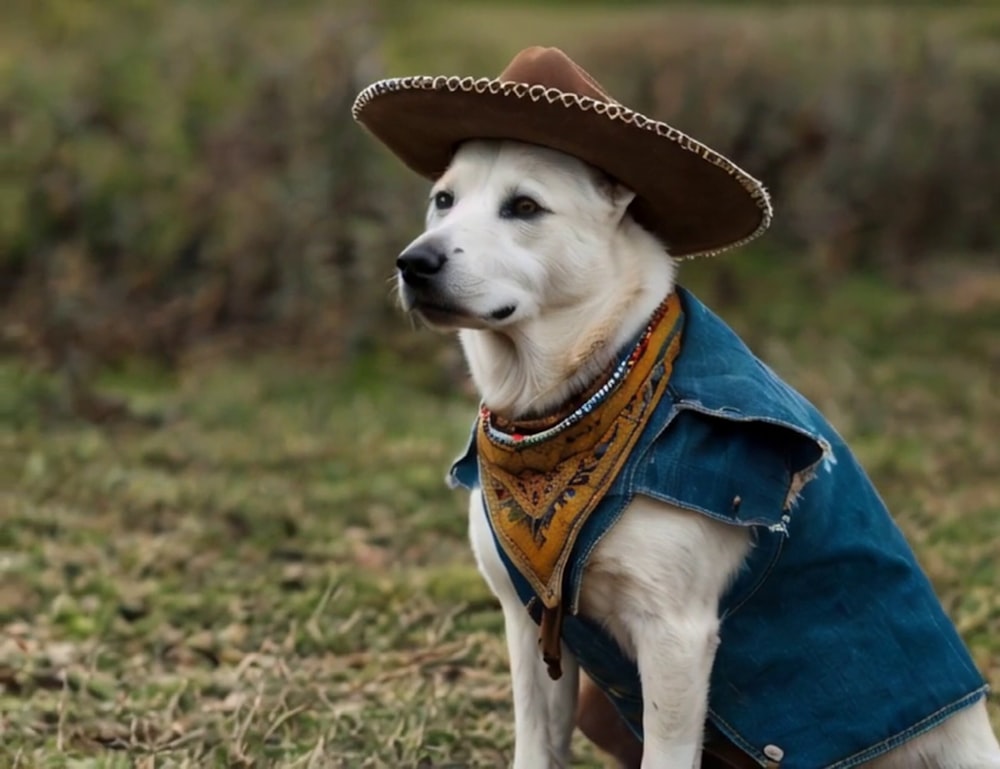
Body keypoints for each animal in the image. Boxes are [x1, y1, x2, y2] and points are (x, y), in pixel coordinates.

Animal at [396, 140, 1000, 768]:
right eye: (444, 200)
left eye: (524, 207)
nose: (413, 263)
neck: (567, 412)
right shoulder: (528, 622)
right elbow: (537, 748)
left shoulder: (674, 637)